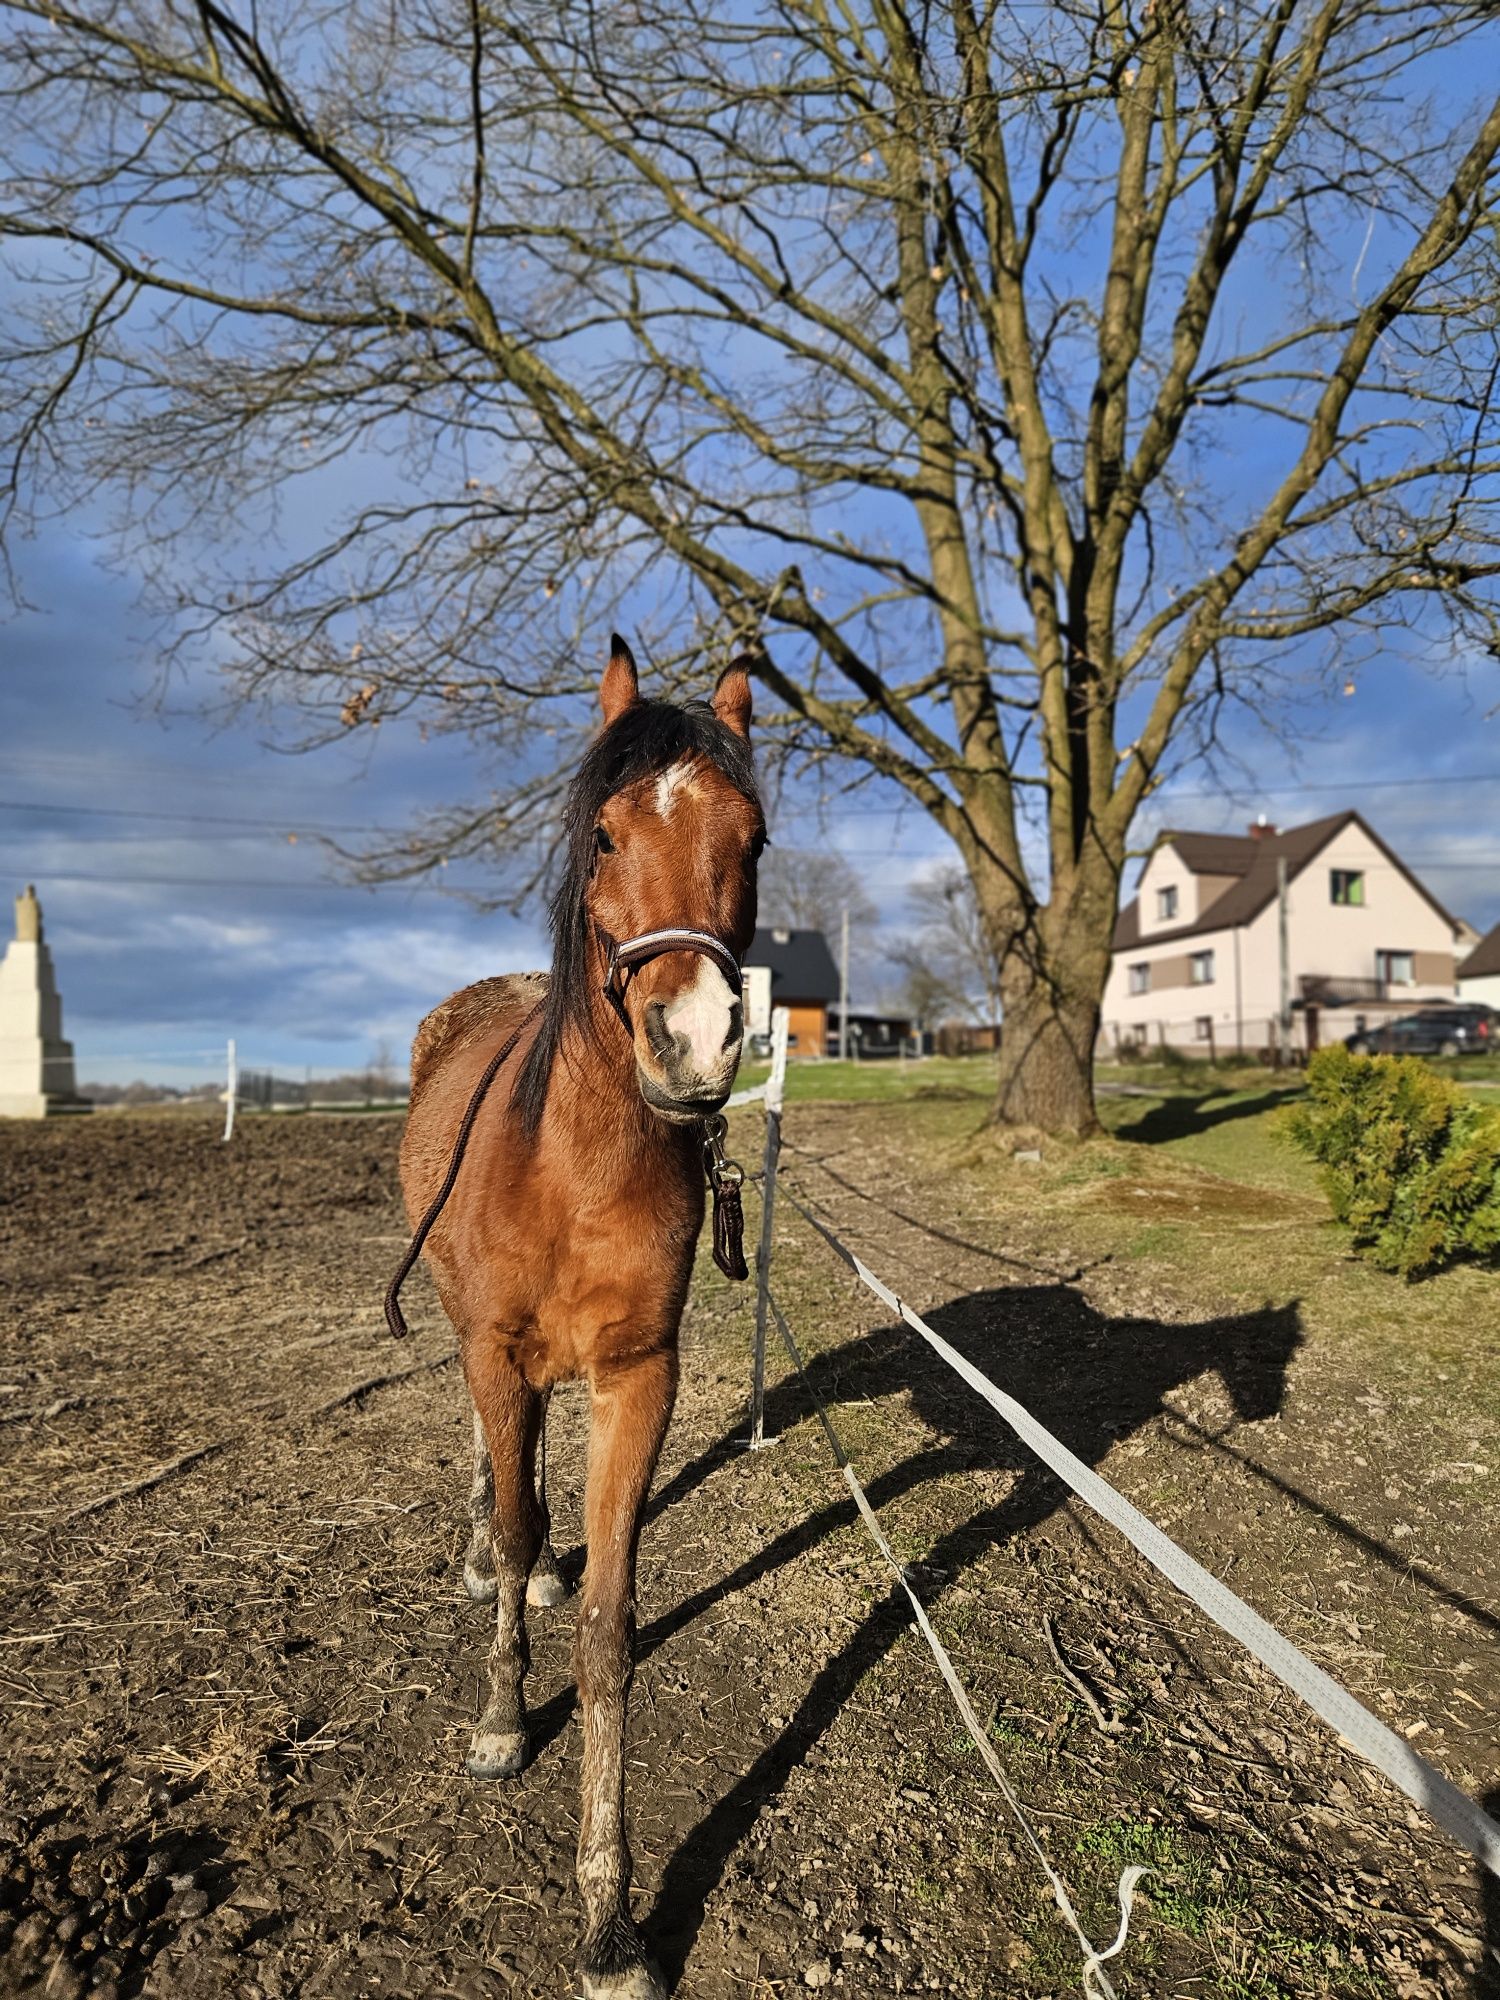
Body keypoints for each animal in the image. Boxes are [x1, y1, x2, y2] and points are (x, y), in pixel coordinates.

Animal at [396, 640, 764, 2000]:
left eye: (753, 838)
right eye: (605, 833)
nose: (694, 1042)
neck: (571, 1159)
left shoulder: (636, 1376)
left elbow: (610, 1630)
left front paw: (609, 1918)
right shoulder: (498, 1354)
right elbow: (507, 1530)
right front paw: (504, 1715)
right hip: (469, 1339)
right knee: (491, 1473)